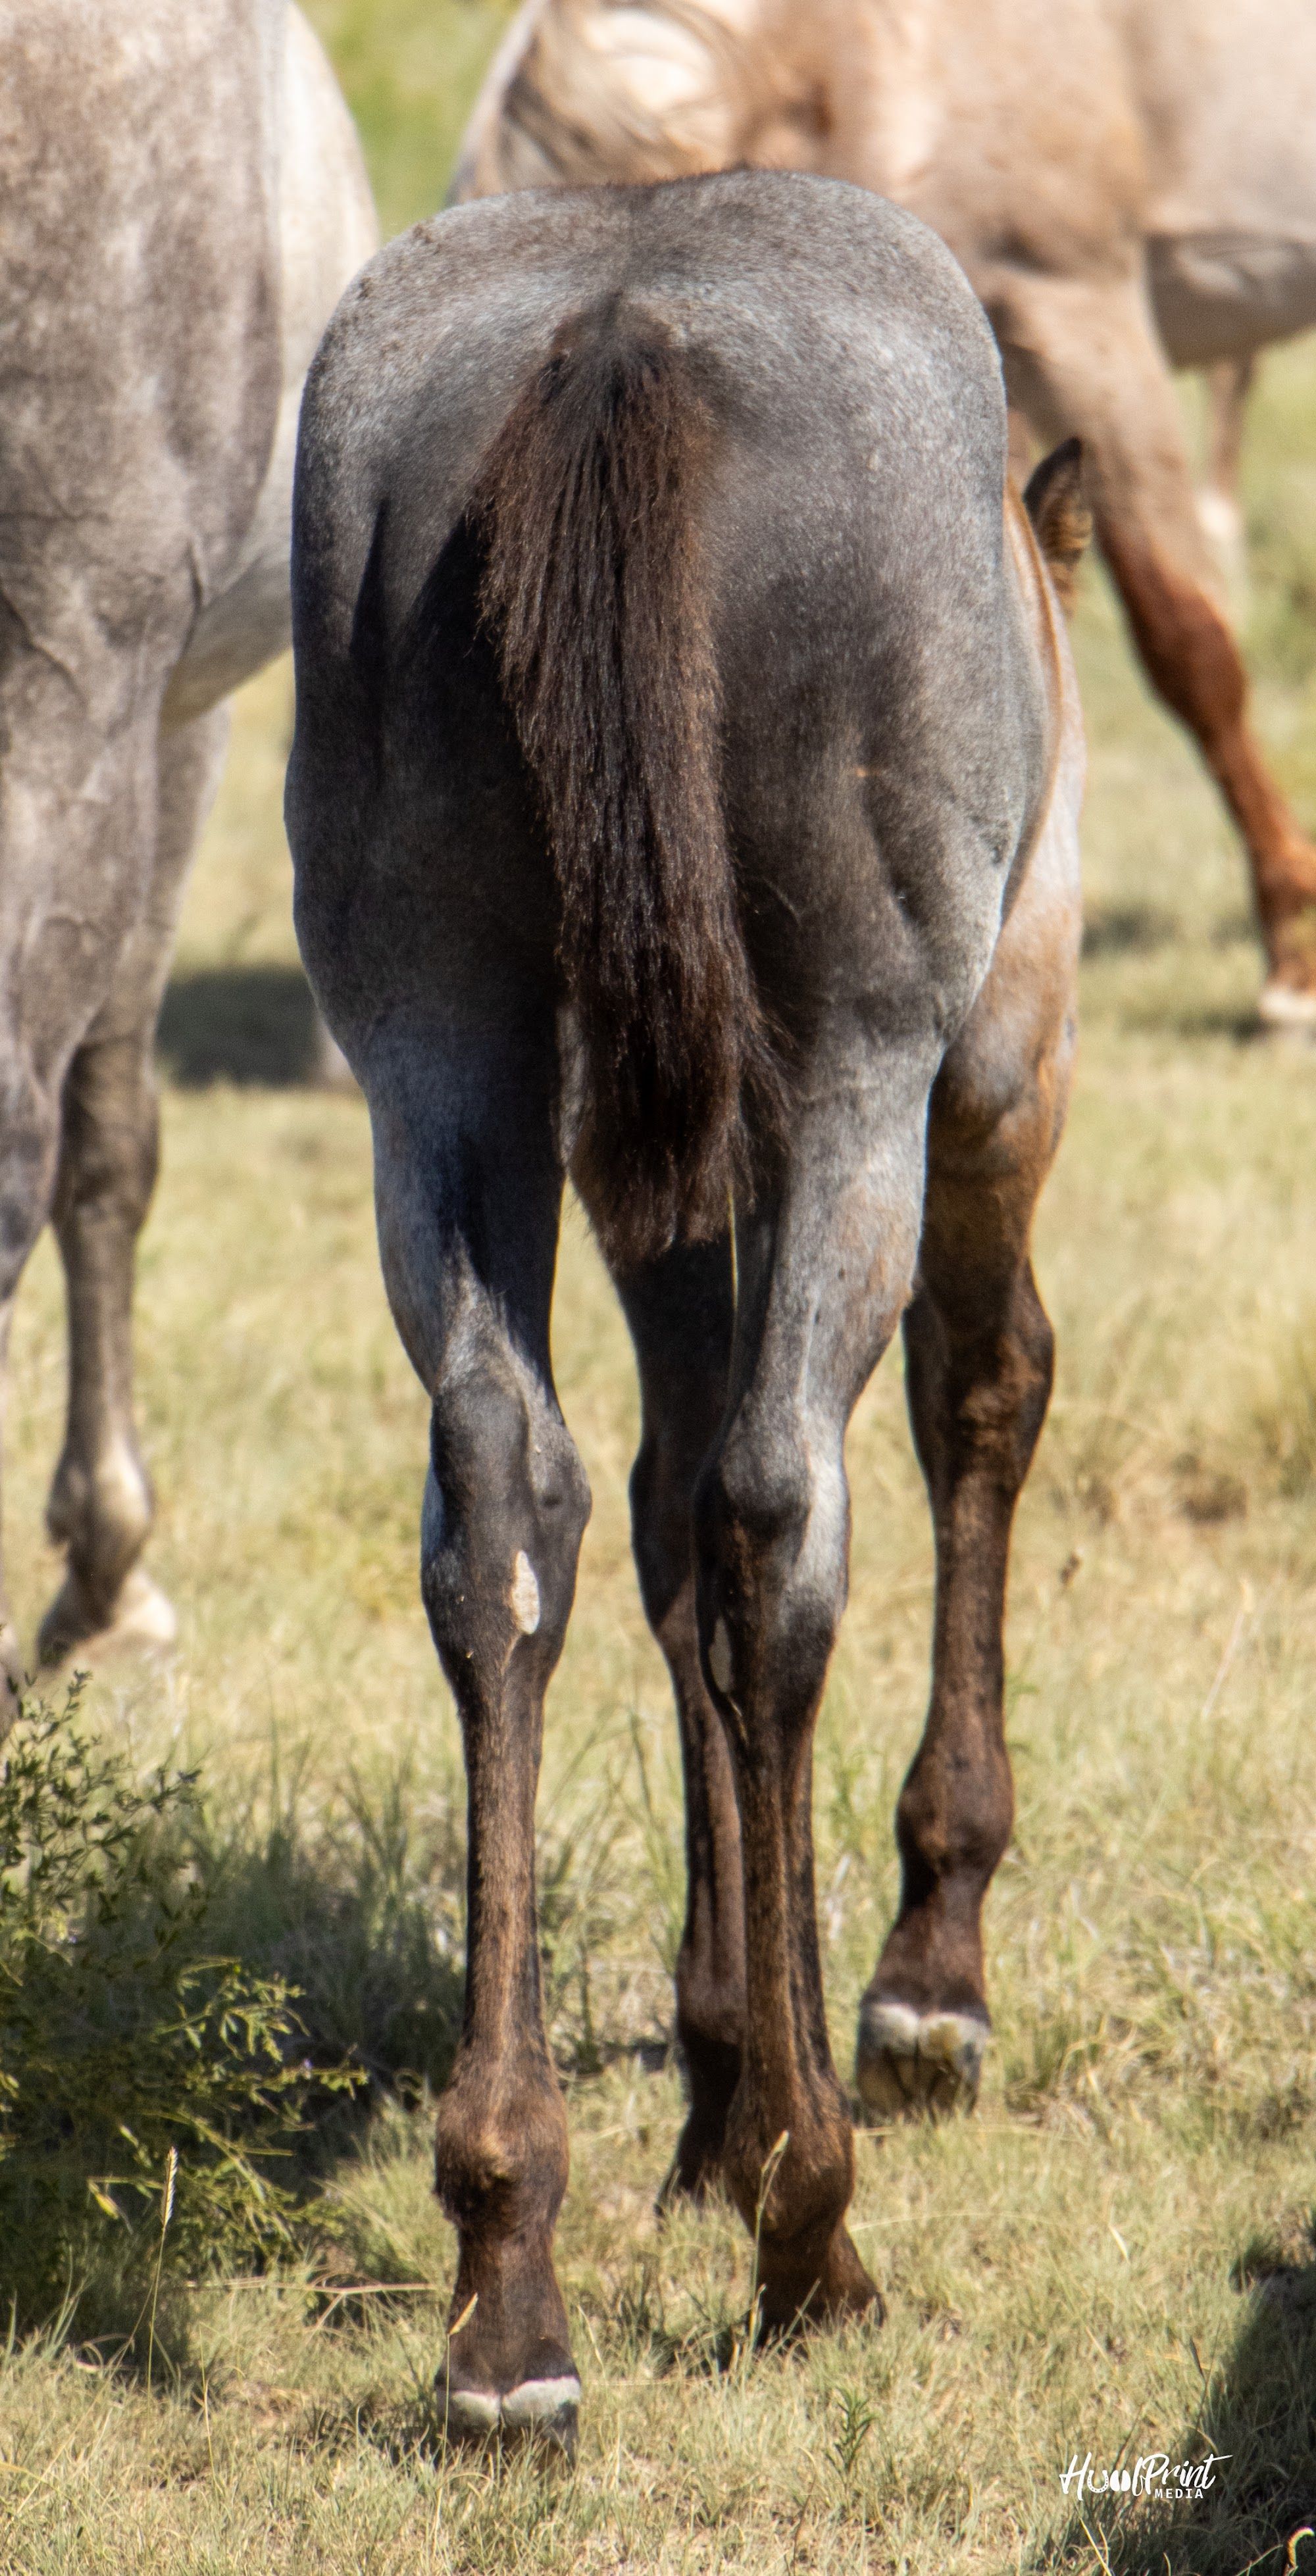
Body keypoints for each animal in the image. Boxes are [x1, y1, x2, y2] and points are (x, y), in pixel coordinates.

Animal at [287, 165, 1087, 2451]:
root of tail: (620, 324)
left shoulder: (637, 1159)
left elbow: (646, 1527)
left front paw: (722, 2070)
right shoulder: (990, 1064)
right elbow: (972, 1404)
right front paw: (913, 1986)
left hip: (443, 1050)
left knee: (513, 1507)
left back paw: (510, 2281)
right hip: (865, 1070)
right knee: (780, 1513)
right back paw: (815, 2219)